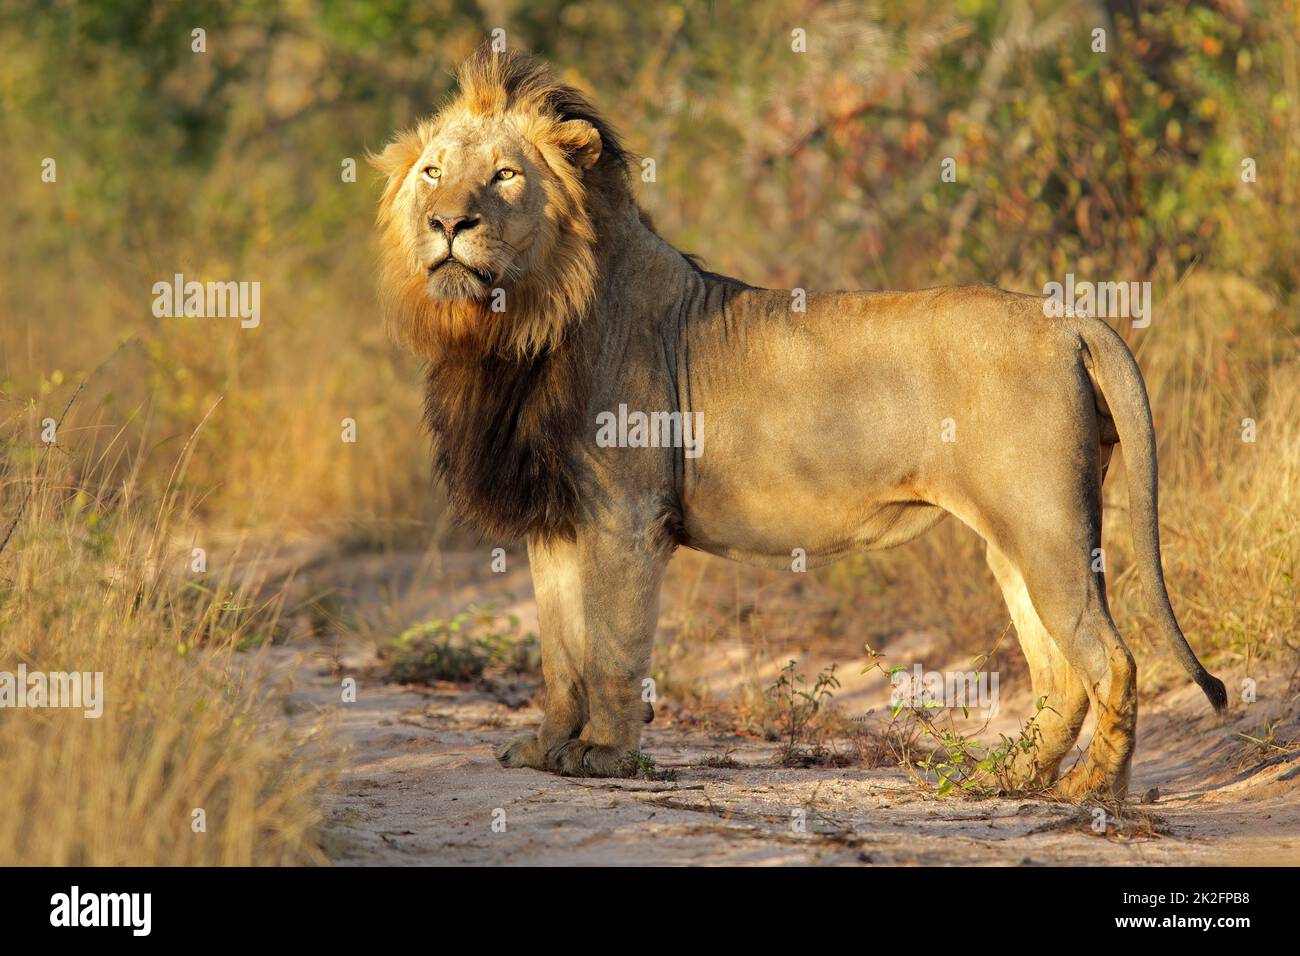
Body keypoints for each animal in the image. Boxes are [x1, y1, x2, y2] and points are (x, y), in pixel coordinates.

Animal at [371, 44, 1222, 796]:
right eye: (433, 173)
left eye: (505, 175)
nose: (448, 224)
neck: (512, 328)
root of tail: (1068, 319)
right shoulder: (557, 520)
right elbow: (560, 653)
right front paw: (548, 748)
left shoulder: (625, 514)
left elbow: (612, 646)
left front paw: (604, 756)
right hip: (1015, 538)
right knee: (1059, 672)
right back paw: (1011, 779)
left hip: (1046, 525)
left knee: (1110, 660)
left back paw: (1092, 792)